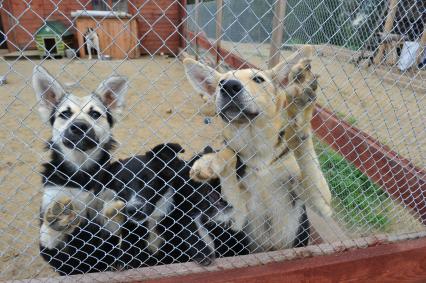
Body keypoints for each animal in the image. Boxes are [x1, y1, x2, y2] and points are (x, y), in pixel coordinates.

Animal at [32, 66, 128, 276]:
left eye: (95, 114)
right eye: (65, 114)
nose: (79, 126)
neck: (82, 173)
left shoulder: (108, 232)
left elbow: (111, 222)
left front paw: (112, 211)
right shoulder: (53, 252)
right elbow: (49, 236)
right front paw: (57, 219)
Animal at [181, 47, 332, 253]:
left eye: (258, 79)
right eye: (221, 82)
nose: (228, 86)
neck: (258, 153)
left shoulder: (322, 203)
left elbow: (302, 144)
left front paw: (300, 103)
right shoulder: (236, 218)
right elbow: (229, 153)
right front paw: (211, 162)